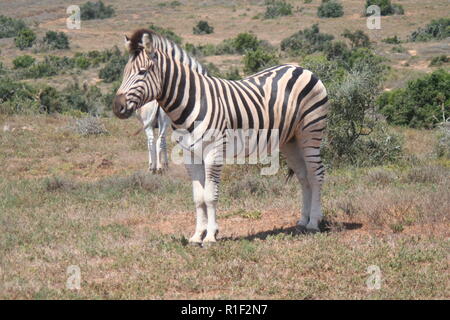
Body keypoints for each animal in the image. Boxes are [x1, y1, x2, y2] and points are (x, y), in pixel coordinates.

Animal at [112, 29, 328, 245]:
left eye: (142, 72)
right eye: (124, 73)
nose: (117, 107)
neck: (192, 102)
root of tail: (301, 68)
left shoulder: (213, 152)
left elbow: (210, 195)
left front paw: (210, 236)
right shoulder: (190, 155)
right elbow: (198, 197)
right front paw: (197, 235)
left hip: (310, 133)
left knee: (316, 174)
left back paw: (313, 223)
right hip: (290, 140)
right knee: (303, 176)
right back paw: (302, 221)